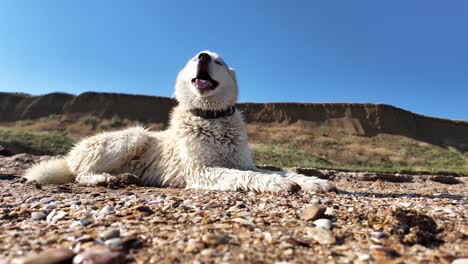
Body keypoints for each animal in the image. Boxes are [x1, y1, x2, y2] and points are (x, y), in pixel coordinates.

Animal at [25, 50, 334, 193]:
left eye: (219, 62)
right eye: (194, 57)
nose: (203, 56)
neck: (212, 119)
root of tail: (69, 156)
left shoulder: (242, 162)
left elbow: (276, 171)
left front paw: (311, 181)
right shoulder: (201, 170)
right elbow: (248, 176)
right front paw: (277, 185)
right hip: (134, 136)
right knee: (81, 174)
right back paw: (107, 179)